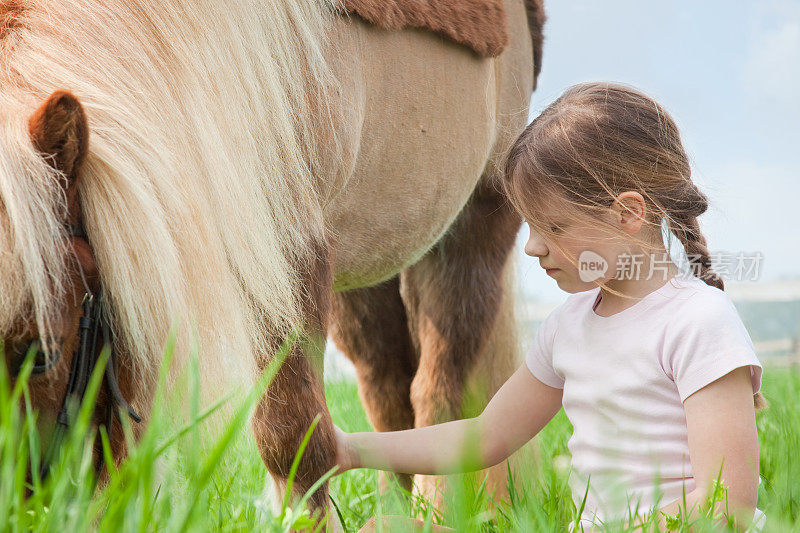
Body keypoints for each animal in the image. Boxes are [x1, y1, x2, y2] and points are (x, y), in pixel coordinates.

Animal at [0, 0, 544, 524]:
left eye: (40, 353)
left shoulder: (290, 250)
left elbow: (293, 437)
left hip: (474, 224)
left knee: (440, 392)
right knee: (389, 394)